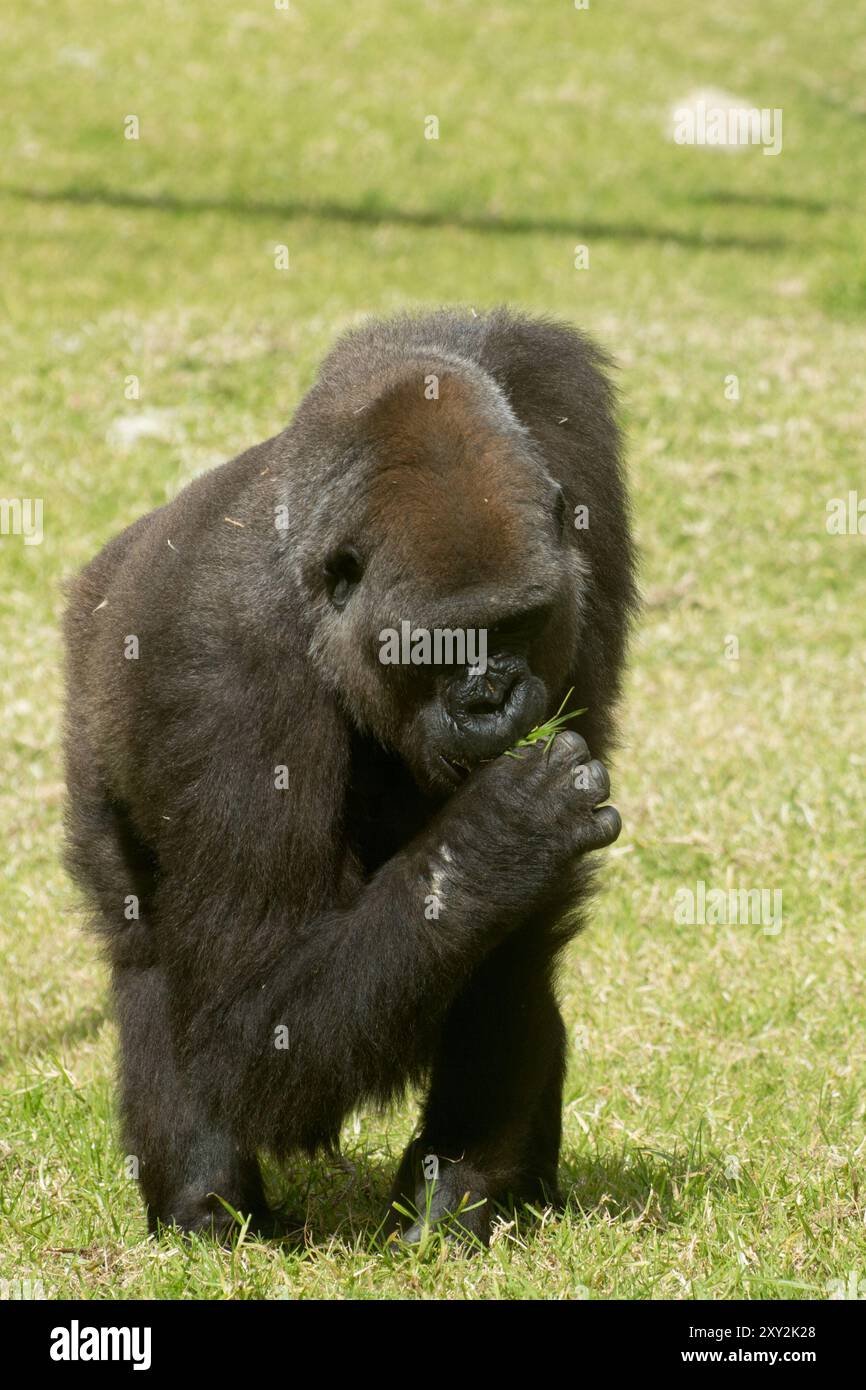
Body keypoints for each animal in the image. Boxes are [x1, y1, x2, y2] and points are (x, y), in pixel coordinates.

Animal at [64, 309, 636, 1245]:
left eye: (515, 625)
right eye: (434, 647)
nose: (491, 700)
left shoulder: (570, 445)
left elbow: (514, 946)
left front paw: (459, 1183)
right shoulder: (229, 676)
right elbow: (251, 1019)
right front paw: (502, 835)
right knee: (149, 961)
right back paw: (203, 1204)